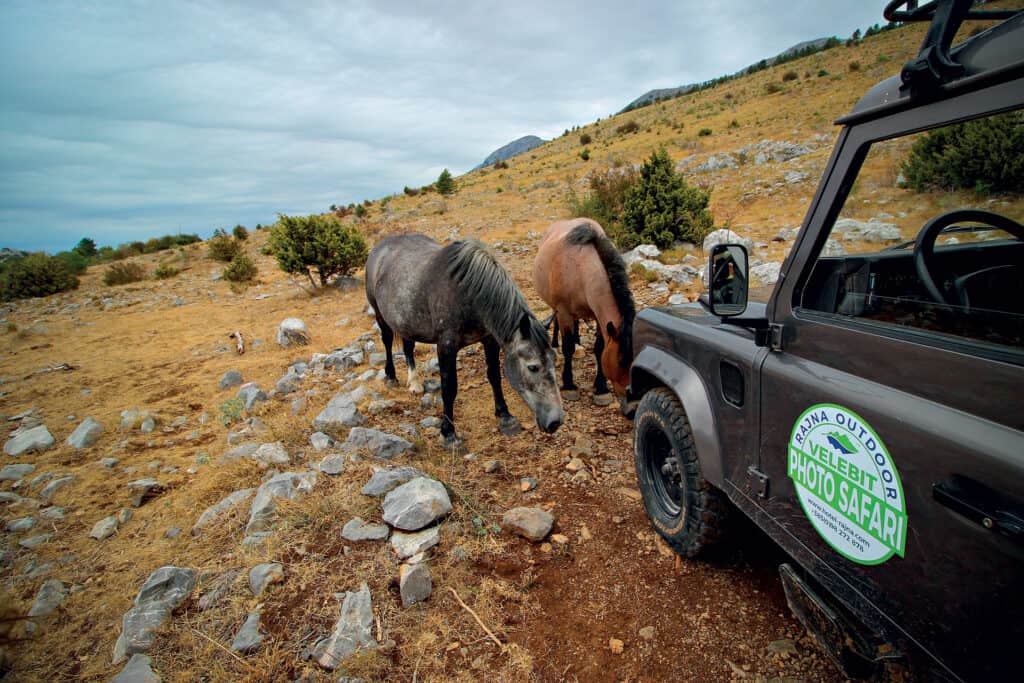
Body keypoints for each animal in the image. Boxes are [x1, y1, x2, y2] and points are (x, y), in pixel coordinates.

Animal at [364, 235, 565, 448]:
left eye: (554, 360)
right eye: (532, 367)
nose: (555, 422)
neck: (468, 293)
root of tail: (381, 246)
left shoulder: (489, 339)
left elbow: (494, 375)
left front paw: (505, 415)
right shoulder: (446, 346)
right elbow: (449, 388)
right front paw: (449, 433)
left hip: (407, 321)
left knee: (408, 346)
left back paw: (415, 383)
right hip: (379, 314)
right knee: (387, 341)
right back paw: (391, 376)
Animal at [532, 219, 634, 403]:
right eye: (621, 362)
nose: (631, 397)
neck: (581, 267)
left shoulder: (599, 318)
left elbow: (599, 348)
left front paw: (601, 388)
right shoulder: (564, 313)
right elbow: (568, 347)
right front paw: (569, 386)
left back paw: (578, 338)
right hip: (556, 307)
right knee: (556, 322)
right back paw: (555, 343)